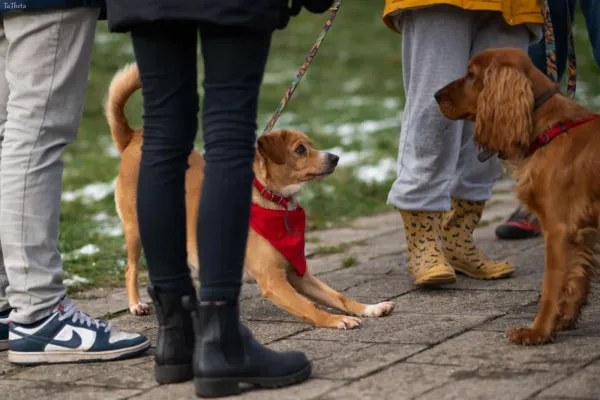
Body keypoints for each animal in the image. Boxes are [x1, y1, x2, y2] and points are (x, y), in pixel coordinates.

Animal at [104, 65, 394, 328]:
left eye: (311, 146)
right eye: (300, 149)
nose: (335, 158)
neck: (275, 203)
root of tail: (134, 137)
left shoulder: (299, 274)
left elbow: (338, 297)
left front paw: (369, 307)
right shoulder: (273, 281)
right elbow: (311, 308)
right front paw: (336, 320)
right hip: (136, 229)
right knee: (131, 268)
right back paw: (136, 304)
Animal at [436, 48, 600, 346]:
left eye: (471, 74)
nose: (435, 95)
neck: (547, 127)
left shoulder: (558, 229)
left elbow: (551, 287)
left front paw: (537, 332)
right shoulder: (583, 231)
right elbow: (577, 277)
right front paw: (566, 319)